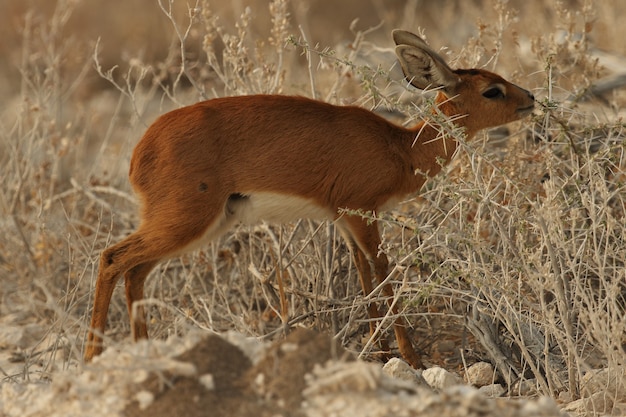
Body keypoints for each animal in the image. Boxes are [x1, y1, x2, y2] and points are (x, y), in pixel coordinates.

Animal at [83, 30, 532, 368]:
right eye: (492, 90)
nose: (531, 99)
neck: (400, 147)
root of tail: (140, 151)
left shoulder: (346, 221)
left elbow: (364, 278)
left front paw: (381, 352)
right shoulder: (365, 214)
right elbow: (383, 274)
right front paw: (412, 359)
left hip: (197, 225)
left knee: (136, 271)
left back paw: (142, 353)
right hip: (186, 221)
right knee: (112, 257)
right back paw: (92, 357)